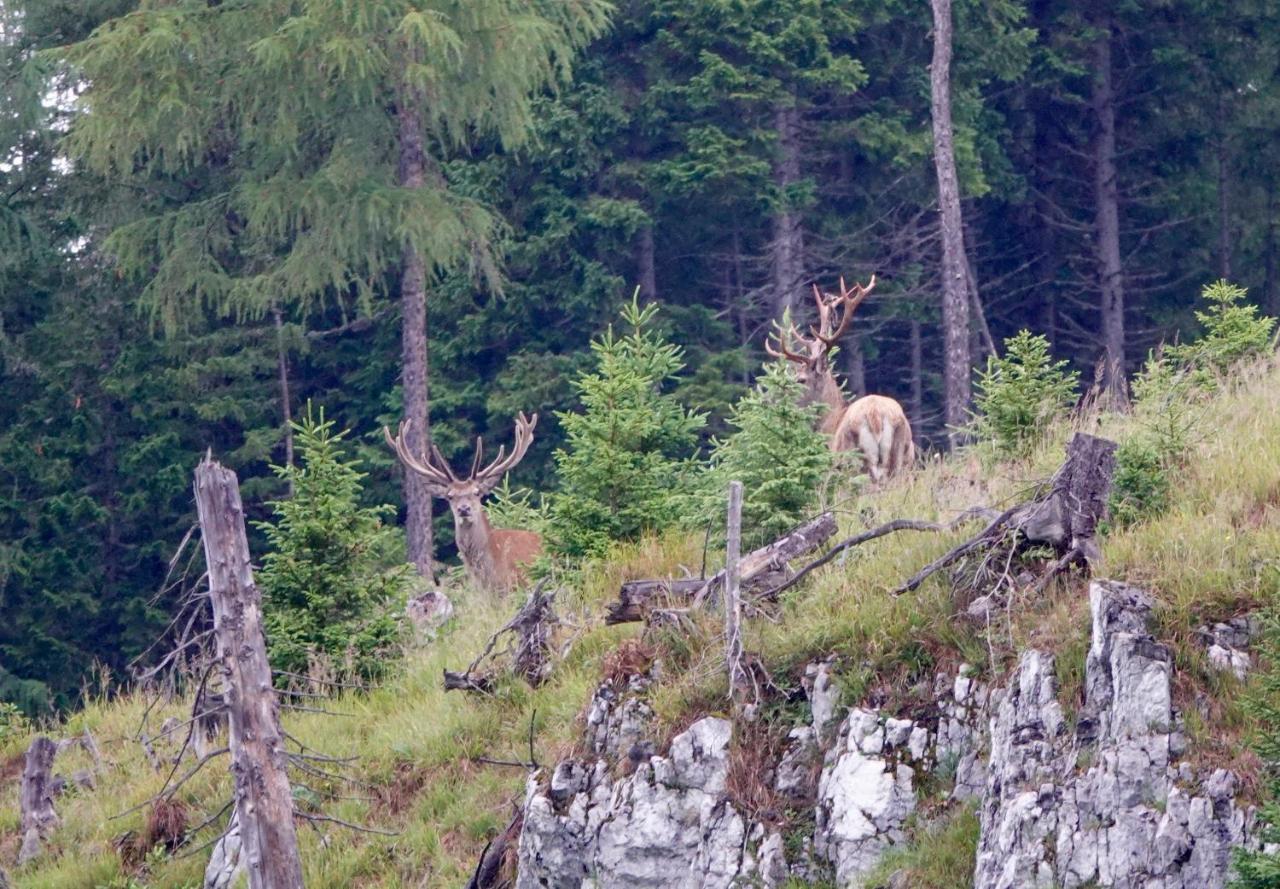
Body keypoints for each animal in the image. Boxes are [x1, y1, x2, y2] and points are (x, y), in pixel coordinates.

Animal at [762, 278, 916, 486]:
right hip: (903, 455)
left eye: (800, 380)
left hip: (853, 459)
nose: (766, 401)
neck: (829, 422)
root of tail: (876, 415)